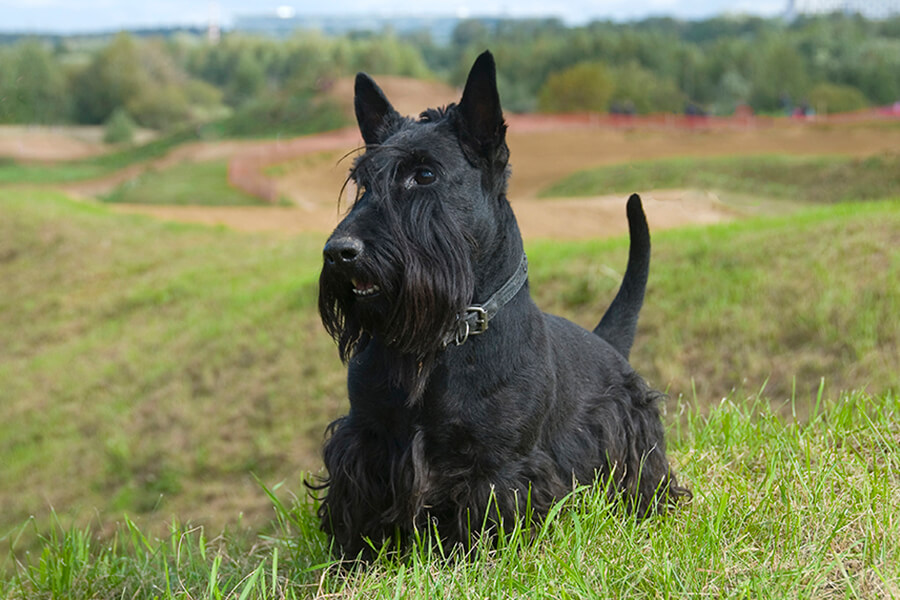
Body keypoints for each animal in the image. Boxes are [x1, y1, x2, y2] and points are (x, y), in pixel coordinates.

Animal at [316, 51, 688, 564]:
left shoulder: (500, 465)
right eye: (362, 182)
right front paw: (353, 565)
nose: (339, 252)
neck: (445, 339)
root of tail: (608, 345)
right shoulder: (366, 443)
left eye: (424, 174)